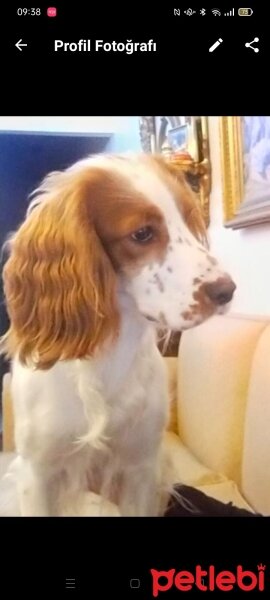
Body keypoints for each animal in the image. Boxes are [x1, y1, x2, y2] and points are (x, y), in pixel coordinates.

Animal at [0, 155, 236, 516]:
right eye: (142, 233)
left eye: (187, 218)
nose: (227, 291)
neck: (105, 352)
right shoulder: (38, 473)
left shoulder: (140, 467)